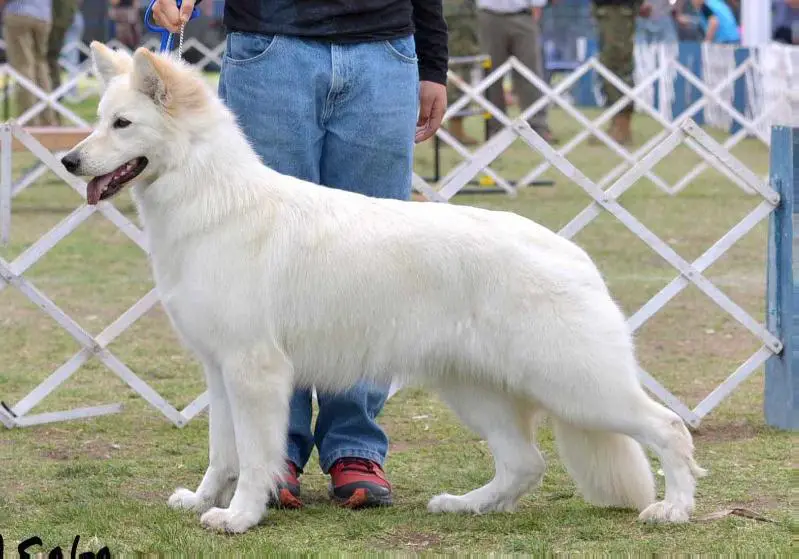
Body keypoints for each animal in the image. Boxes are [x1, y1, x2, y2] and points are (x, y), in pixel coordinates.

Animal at [62, 42, 708, 532]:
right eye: (98, 119)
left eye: (122, 125)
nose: (69, 161)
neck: (211, 195)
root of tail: (574, 256)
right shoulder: (219, 372)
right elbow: (224, 452)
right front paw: (202, 500)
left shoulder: (253, 371)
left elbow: (253, 456)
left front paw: (240, 517)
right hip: (475, 388)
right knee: (525, 463)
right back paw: (467, 505)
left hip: (575, 385)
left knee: (668, 427)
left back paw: (673, 509)